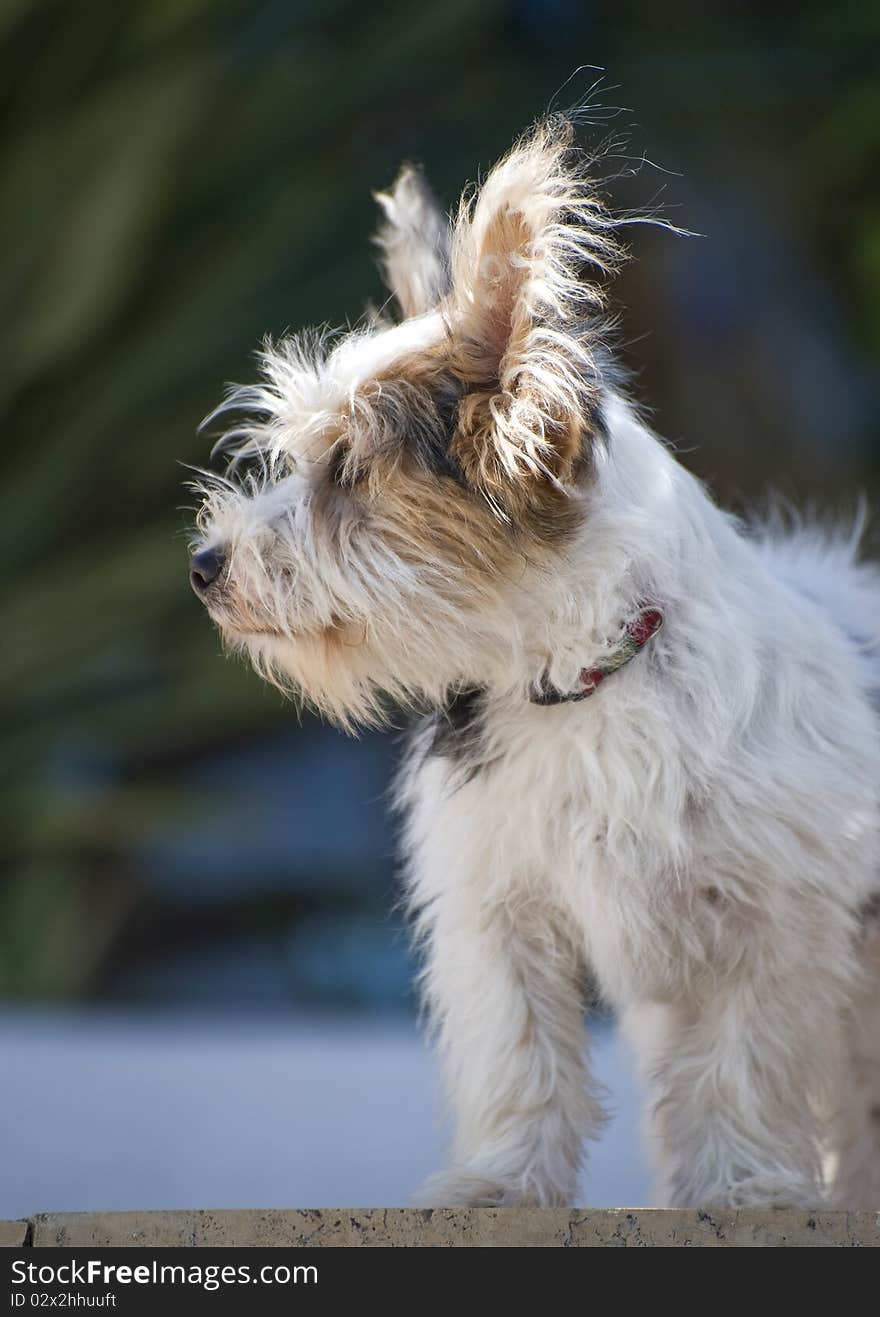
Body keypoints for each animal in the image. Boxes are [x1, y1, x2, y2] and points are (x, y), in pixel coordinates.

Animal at [189, 118, 880, 1206]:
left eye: (346, 469)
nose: (203, 566)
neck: (578, 682)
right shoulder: (495, 912)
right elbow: (519, 1050)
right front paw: (502, 1183)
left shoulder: (773, 924)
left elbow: (744, 1059)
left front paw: (743, 1187)